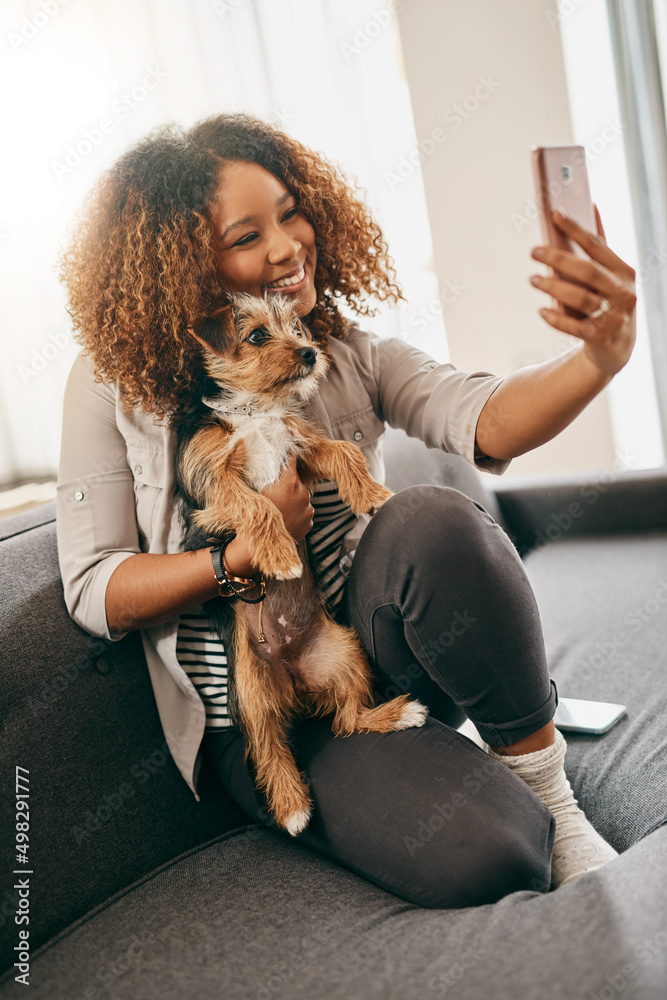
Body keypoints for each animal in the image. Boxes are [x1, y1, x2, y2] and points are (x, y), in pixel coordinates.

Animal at [177, 292, 428, 836]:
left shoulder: (301, 450)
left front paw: (373, 495)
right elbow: (256, 504)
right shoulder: (213, 484)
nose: (311, 353)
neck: (255, 409)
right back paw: (292, 806)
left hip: (345, 652)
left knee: (347, 719)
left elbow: (343, 450)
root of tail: (295, 684)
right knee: (268, 746)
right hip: (249, 691)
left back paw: (394, 716)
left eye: (295, 328)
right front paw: (277, 553)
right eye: (256, 336)